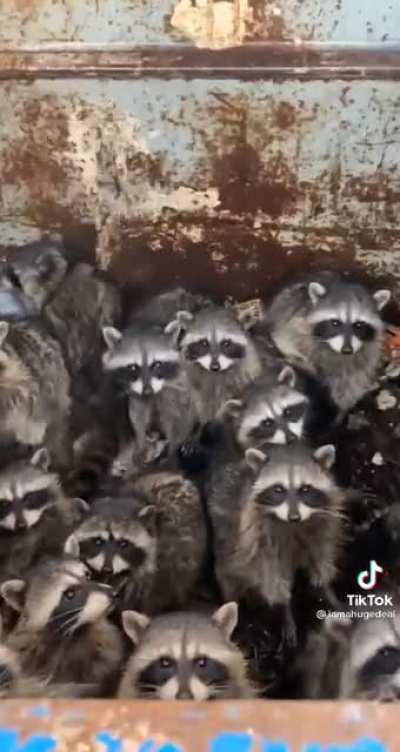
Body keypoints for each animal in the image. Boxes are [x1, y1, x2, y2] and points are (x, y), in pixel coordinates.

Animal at [208, 443, 344, 645]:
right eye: (279, 489)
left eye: (305, 489)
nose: (294, 517)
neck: (293, 526)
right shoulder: (259, 539)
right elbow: (274, 581)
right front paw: (286, 610)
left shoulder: (321, 524)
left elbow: (320, 558)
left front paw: (327, 591)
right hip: (228, 539)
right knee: (231, 574)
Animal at [266, 272, 391, 414]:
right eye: (335, 323)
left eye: (358, 325)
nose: (347, 350)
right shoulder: (296, 322)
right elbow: (285, 338)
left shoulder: (370, 349)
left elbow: (354, 376)